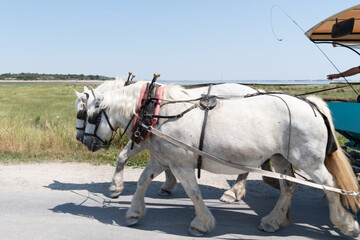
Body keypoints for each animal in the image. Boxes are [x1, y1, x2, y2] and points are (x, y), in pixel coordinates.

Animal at [74, 79, 262, 201]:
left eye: (86, 115)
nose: (82, 140)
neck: (144, 105)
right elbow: (163, 162)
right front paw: (168, 185)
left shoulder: (143, 139)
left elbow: (122, 157)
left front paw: (115, 188)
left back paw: (232, 193)